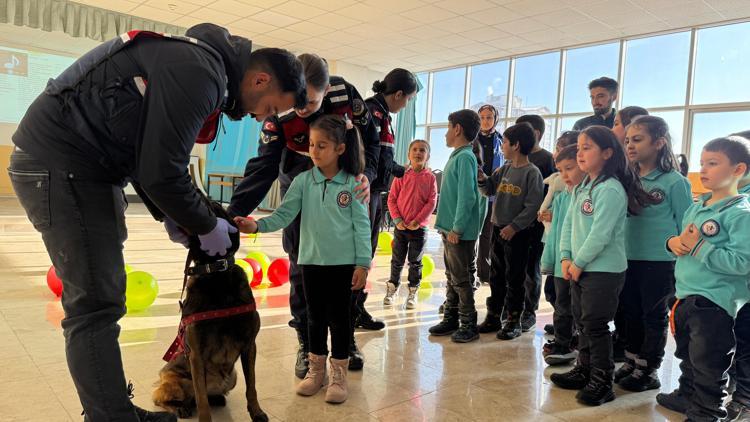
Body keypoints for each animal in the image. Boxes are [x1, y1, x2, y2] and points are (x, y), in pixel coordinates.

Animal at [153, 201, 270, 422]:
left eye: (214, 207)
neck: (215, 272)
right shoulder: (196, 354)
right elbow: (201, 400)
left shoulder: (249, 345)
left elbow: (251, 386)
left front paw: (257, 412)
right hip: (173, 382)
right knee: (163, 399)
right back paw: (180, 408)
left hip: (232, 377)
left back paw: (216, 398)